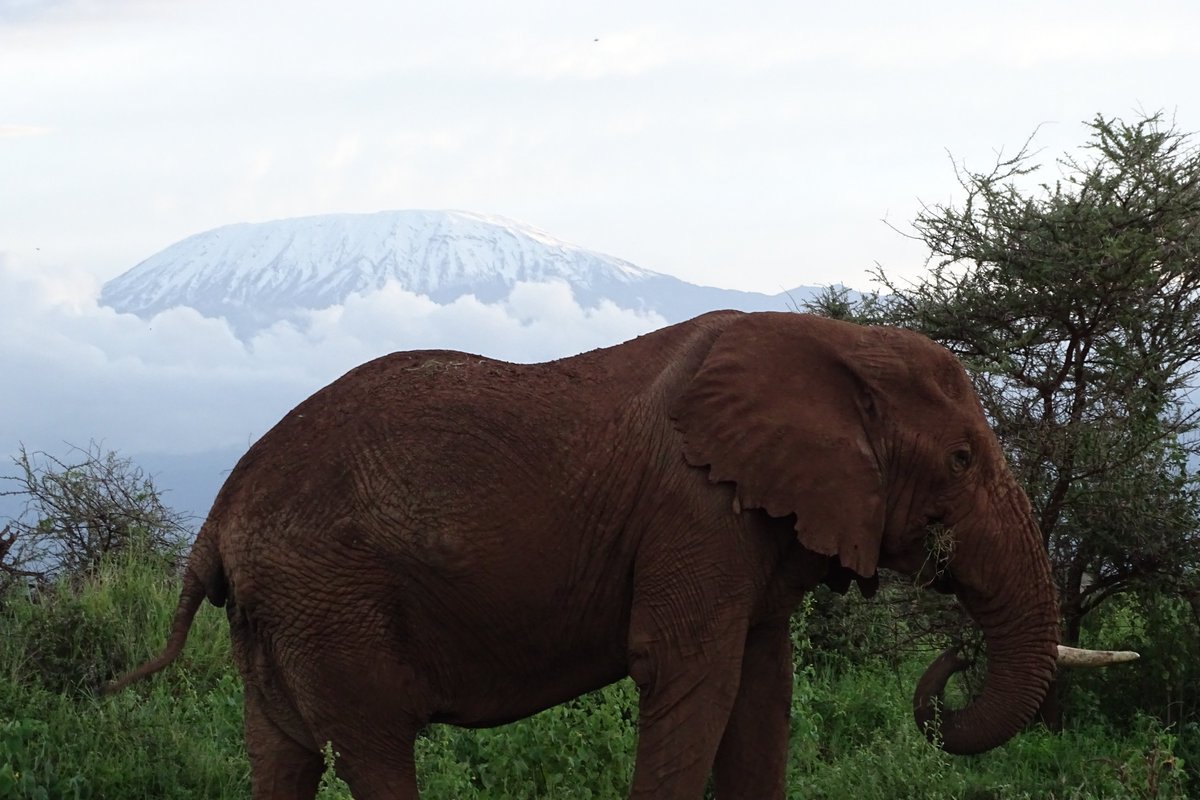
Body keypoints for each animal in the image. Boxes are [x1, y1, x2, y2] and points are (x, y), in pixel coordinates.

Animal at [110, 309, 1080, 796]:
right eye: (962, 461)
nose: (953, 657)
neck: (837, 345)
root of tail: (218, 516)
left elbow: (762, 695)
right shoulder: (695, 516)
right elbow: (692, 681)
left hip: (282, 613)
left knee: (283, 756)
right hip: (329, 599)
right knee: (374, 749)